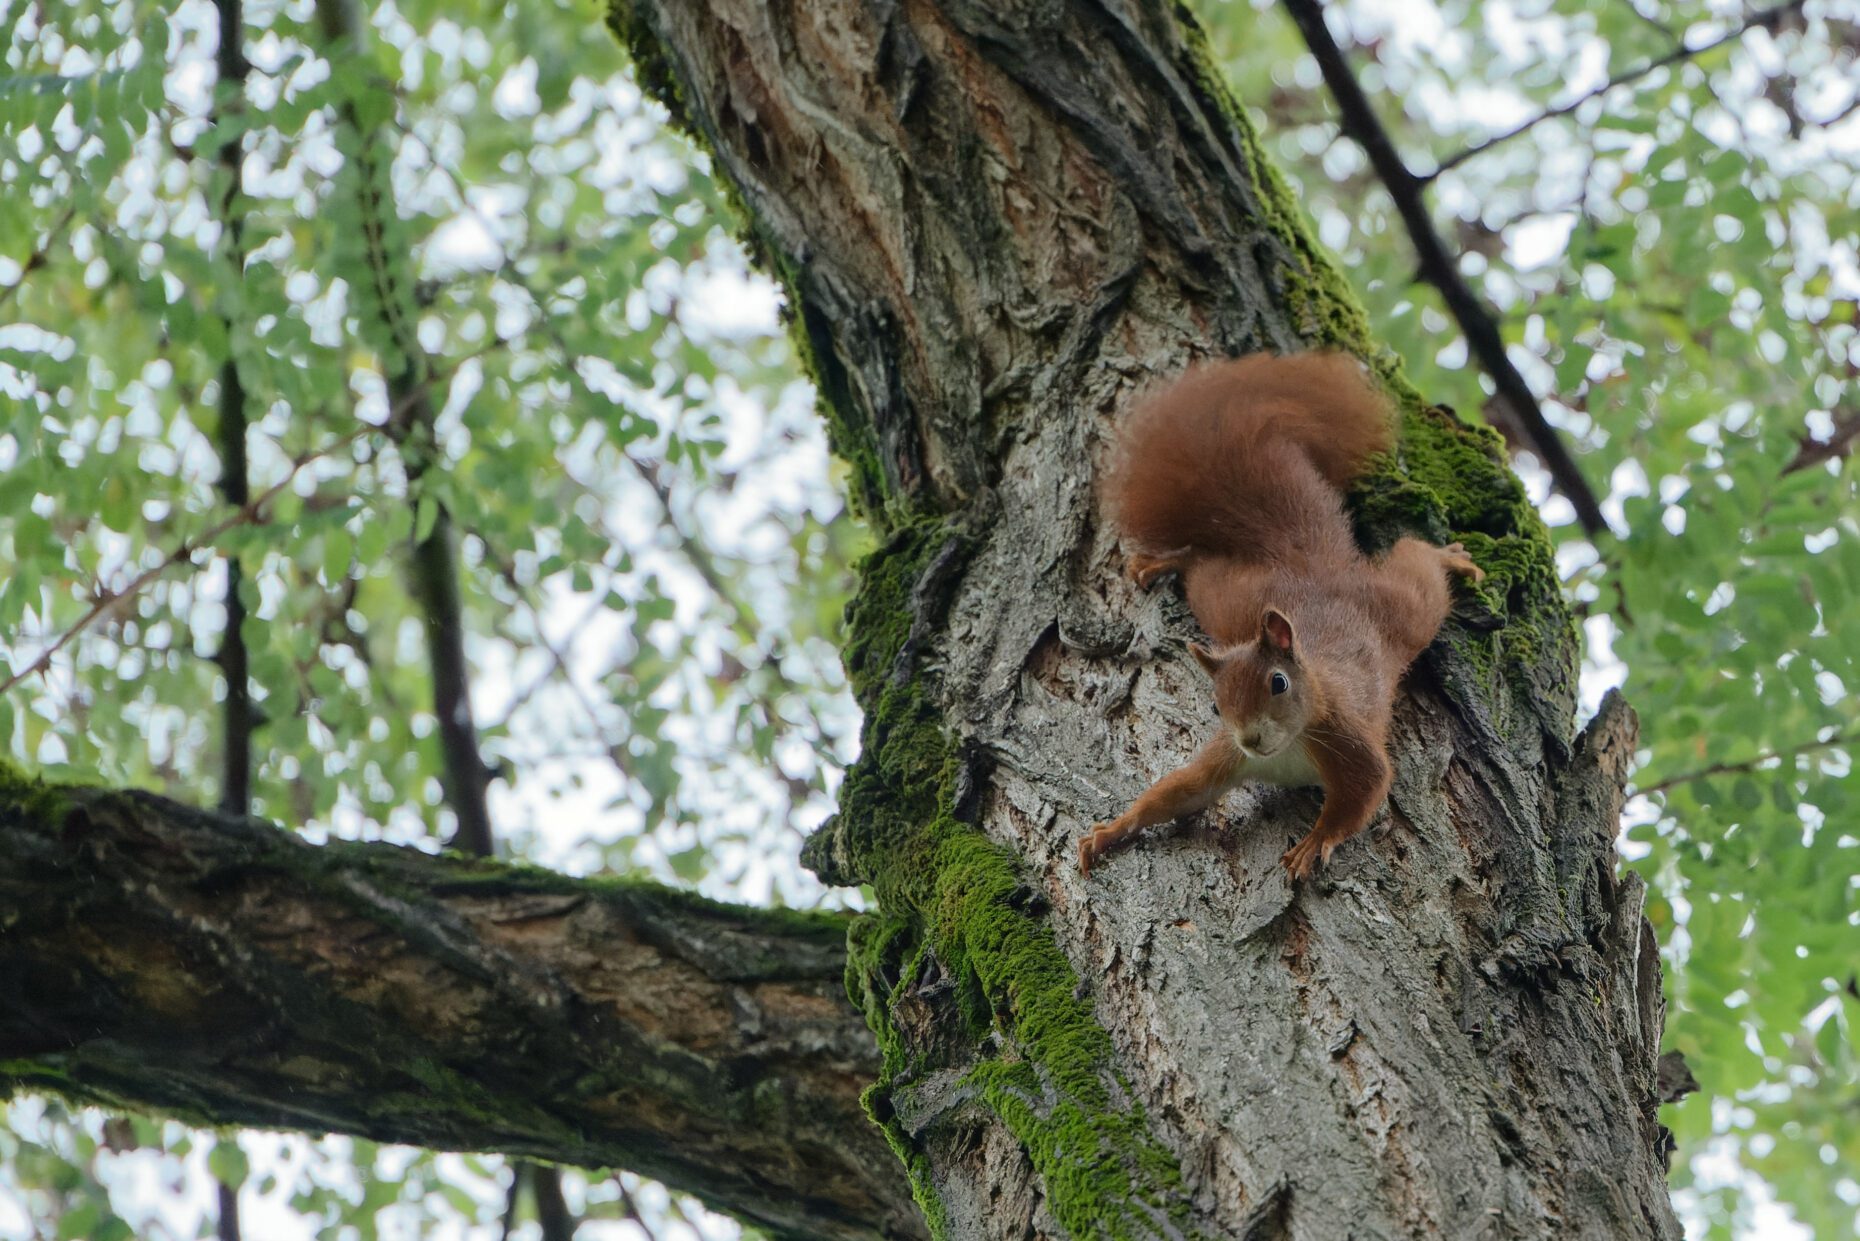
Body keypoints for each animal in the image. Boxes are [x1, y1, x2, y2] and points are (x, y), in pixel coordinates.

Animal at [1078, 351, 1480, 881]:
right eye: (1215, 705)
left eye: (1278, 683)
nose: (1250, 738)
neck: (1288, 746)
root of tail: (1314, 571)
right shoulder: (1228, 757)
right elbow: (1180, 792)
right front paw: (1111, 831)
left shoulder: (1345, 738)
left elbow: (1366, 789)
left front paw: (1317, 840)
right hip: (1230, 598)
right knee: (1203, 564)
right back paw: (1166, 562)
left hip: (1402, 612)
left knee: (1420, 571)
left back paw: (1447, 557)